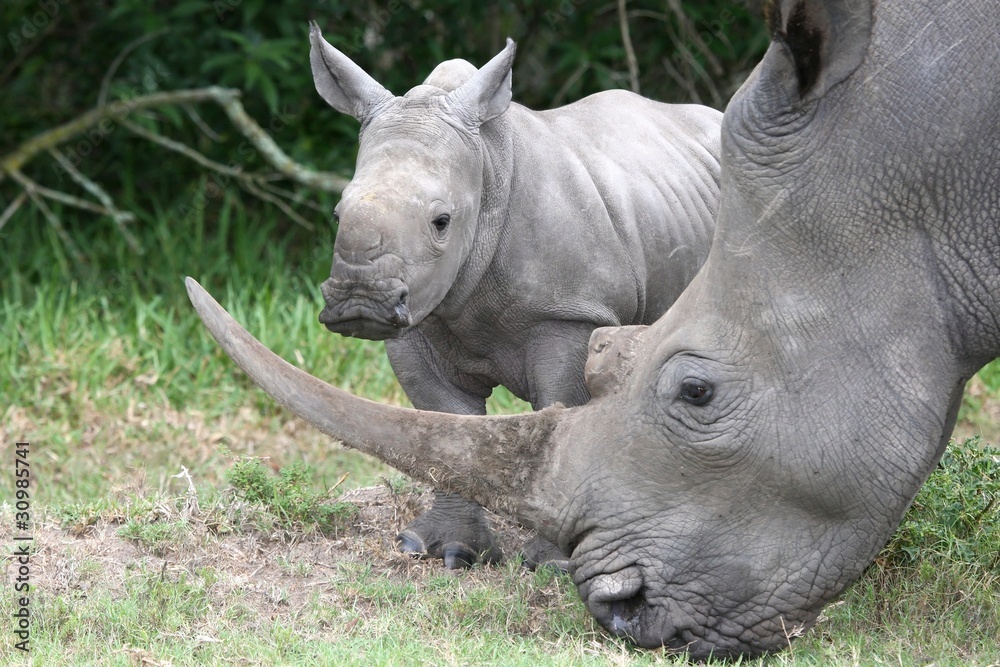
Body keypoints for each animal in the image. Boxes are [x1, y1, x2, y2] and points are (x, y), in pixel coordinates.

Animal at [307, 26, 722, 567]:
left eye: (442, 222)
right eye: (337, 214)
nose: (361, 302)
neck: (487, 169)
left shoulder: (569, 311)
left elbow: (559, 404)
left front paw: (552, 562)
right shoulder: (420, 315)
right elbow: (444, 424)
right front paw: (444, 551)